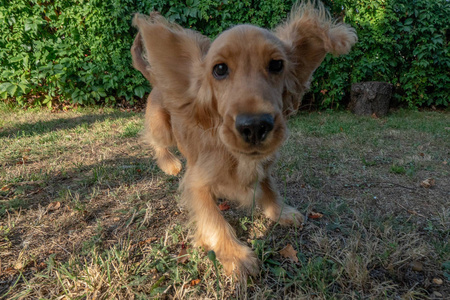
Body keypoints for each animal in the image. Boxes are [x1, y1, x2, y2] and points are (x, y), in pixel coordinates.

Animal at [132, 0, 356, 276]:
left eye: (277, 65)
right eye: (219, 69)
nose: (256, 126)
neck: (235, 156)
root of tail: (158, 79)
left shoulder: (264, 166)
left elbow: (269, 189)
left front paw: (281, 212)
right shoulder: (196, 183)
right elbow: (213, 219)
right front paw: (236, 256)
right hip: (163, 129)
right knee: (156, 142)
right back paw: (169, 164)